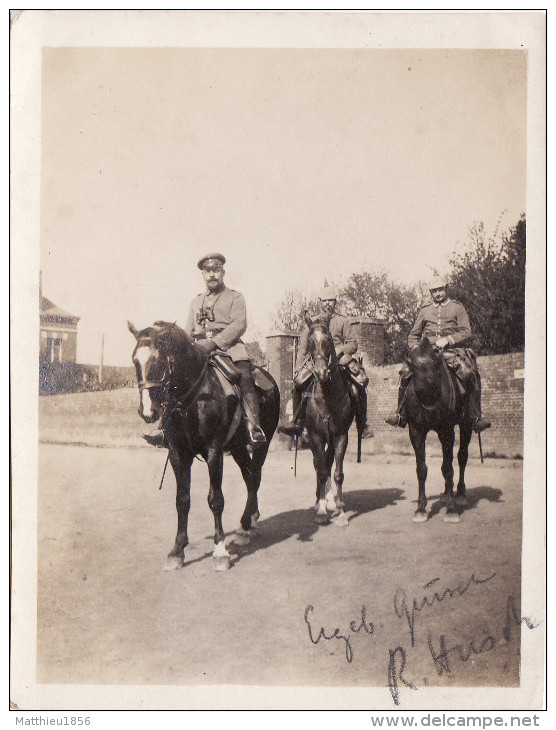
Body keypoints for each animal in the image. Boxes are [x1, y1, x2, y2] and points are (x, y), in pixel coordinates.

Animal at [128, 320, 280, 568]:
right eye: (135, 360)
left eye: (158, 360)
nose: (148, 412)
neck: (193, 400)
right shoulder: (178, 453)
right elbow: (182, 500)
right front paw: (177, 551)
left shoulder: (213, 451)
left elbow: (215, 499)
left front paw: (220, 551)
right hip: (238, 449)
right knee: (250, 478)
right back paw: (249, 524)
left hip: (260, 445)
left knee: (255, 477)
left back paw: (244, 526)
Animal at [300, 312, 356, 524]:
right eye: (310, 341)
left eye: (329, 340)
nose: (321, 373)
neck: (327, 395)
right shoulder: (315, 436)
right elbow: (322, 471)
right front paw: (322, 510)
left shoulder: (340, 436)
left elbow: (337, 473)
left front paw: (340, 511)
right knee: (319, 465)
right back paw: (319, 501)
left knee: (328, 462)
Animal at [406, 338, 472, 520]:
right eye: (413, 375)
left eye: (436, 371)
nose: (430, 410)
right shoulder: (416, 431)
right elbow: (421, 469)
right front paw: (421, 509)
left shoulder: (447, 430)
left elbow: (448, 469)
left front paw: (451, 508)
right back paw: (445, 493)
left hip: (466, 425)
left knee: (462, 457)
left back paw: (460, 494)